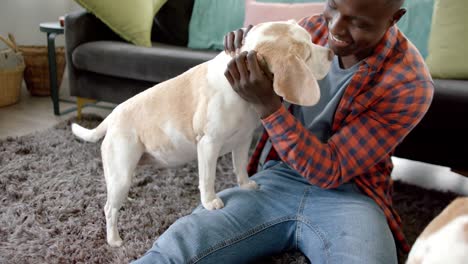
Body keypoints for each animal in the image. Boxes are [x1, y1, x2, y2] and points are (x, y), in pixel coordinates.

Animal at [71, 21, 332, 248]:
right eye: (308, 53)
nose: (330, 53)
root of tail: (112, 117)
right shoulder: (209, 143)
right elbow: (207, 178)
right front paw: (210, 202)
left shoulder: (243, 140)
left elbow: (240, 167)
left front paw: (246, 185)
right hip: (122, 171)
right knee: (109, 209)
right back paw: (114, 240)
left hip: (124, 173)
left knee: (114, 199)